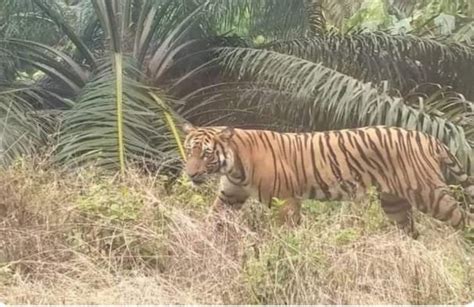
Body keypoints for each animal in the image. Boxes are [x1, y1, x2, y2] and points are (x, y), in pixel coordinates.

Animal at [182, 123, 474, 238]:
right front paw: (199, 240)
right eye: (189, 150)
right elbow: (213, 218)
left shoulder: (285, 200)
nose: (191, 174)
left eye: (206, 154)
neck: (234, 167)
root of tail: (428, 137)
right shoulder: (230, 196)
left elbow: (285, 231)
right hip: (394, 203)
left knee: (464, 219)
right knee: (411, 230)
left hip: (431, 195)